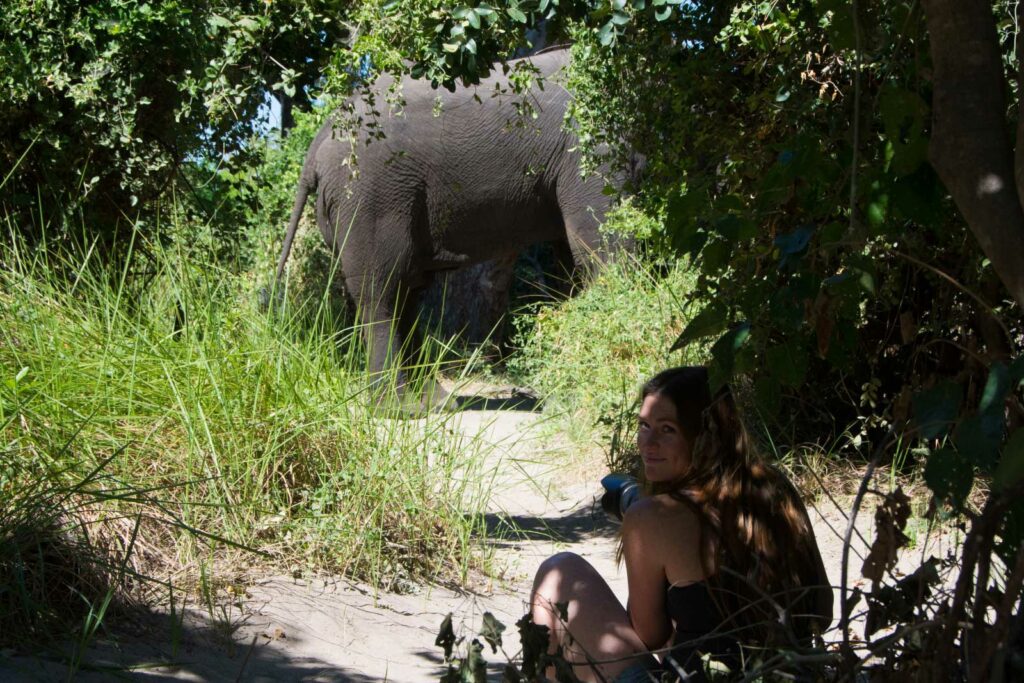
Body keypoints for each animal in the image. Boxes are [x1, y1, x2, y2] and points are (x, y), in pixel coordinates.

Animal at [276, 49, 634, 411]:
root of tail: (323, 133)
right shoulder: (589, 141)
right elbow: (599, 244)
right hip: (369, 195)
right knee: (382, 291)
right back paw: (400, 409)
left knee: (407, 289)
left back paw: (433, 403)